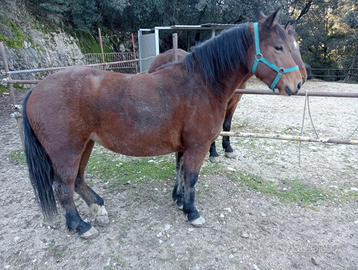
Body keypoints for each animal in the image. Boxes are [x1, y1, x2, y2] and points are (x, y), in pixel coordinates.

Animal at [148, 11, 308, 162]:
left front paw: (228, 148)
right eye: (280, 47)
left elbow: (227, 125)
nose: (301, 80)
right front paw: (213, 152)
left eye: (297, 47)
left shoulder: (233, 103)